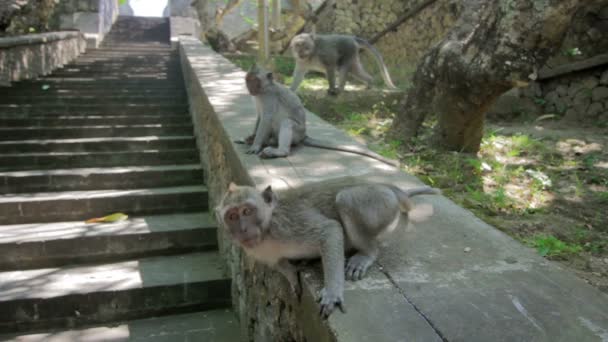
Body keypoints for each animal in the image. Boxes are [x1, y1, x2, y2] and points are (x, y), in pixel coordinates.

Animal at [216, 176, 440, 318]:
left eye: (247, 211)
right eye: (232, 216)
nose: (243, 230)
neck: (266, 232)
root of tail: (386, 186)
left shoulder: (287, 226)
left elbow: (330, 230)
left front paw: (332, 293)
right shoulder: (257, 250)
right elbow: (278, 263)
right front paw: (291, 275)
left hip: (380, 201)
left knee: (346, 199)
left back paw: (366, 253)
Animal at [235, 64, 402, 167]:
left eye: (255, 80)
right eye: (248, 80)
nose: (250, 87)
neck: (263, 90)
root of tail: (304, 136)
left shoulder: (269, 97)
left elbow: (266, 119)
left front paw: (256, 145)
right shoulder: (258, 98)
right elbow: (259, 117)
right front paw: (251, 137)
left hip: (297, 132)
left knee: (287, 123)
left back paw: (279, 150)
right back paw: (268, 141)